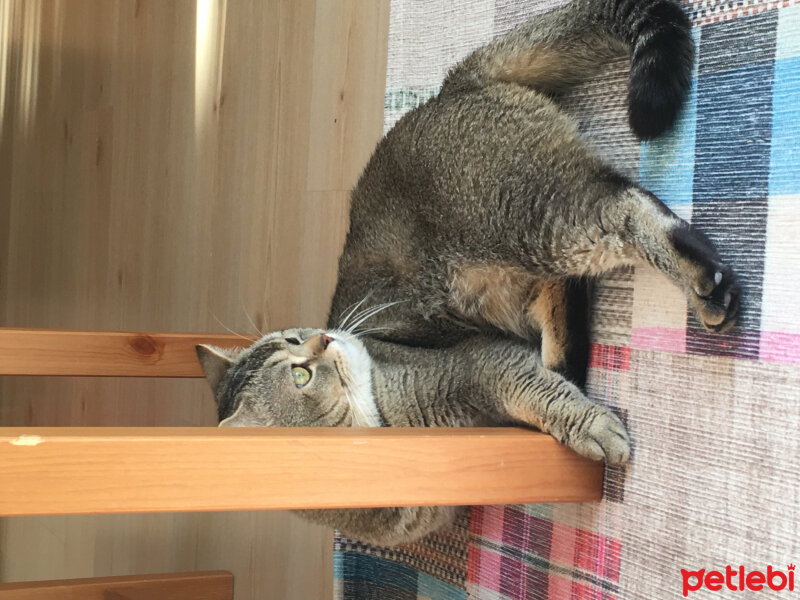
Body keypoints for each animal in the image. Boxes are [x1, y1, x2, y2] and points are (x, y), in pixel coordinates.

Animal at [194, 0, 736, 548]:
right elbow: (541, 396)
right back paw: (568, 356)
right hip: (510, 270)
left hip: (531, 215)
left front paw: (593, 427)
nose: (325, 337)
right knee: (561, 286)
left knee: (625, 208)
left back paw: (706, 286)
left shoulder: (481, 363)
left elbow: (538, 393)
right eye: (299, 373)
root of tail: (448, 87)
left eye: (295, 340)